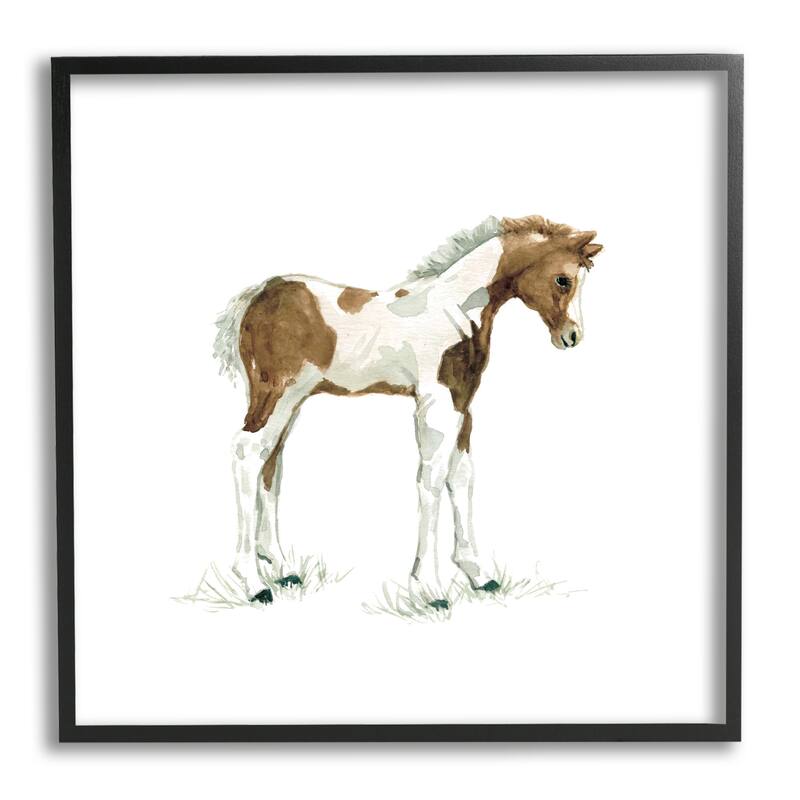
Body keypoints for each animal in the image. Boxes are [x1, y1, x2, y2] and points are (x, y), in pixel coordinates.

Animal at [214, 214, 603, 607]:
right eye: (563, 279)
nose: (572, 337)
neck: (455, 309)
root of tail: (256, 295)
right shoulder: (435, 403)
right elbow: (431, 479)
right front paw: (430, 587)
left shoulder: (462, 404)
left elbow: (461, 477)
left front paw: (479, 575)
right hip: (276, 394)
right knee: (247, 453)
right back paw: (253, 582)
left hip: (292, 401)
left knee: (271, 462)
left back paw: (281, 569)